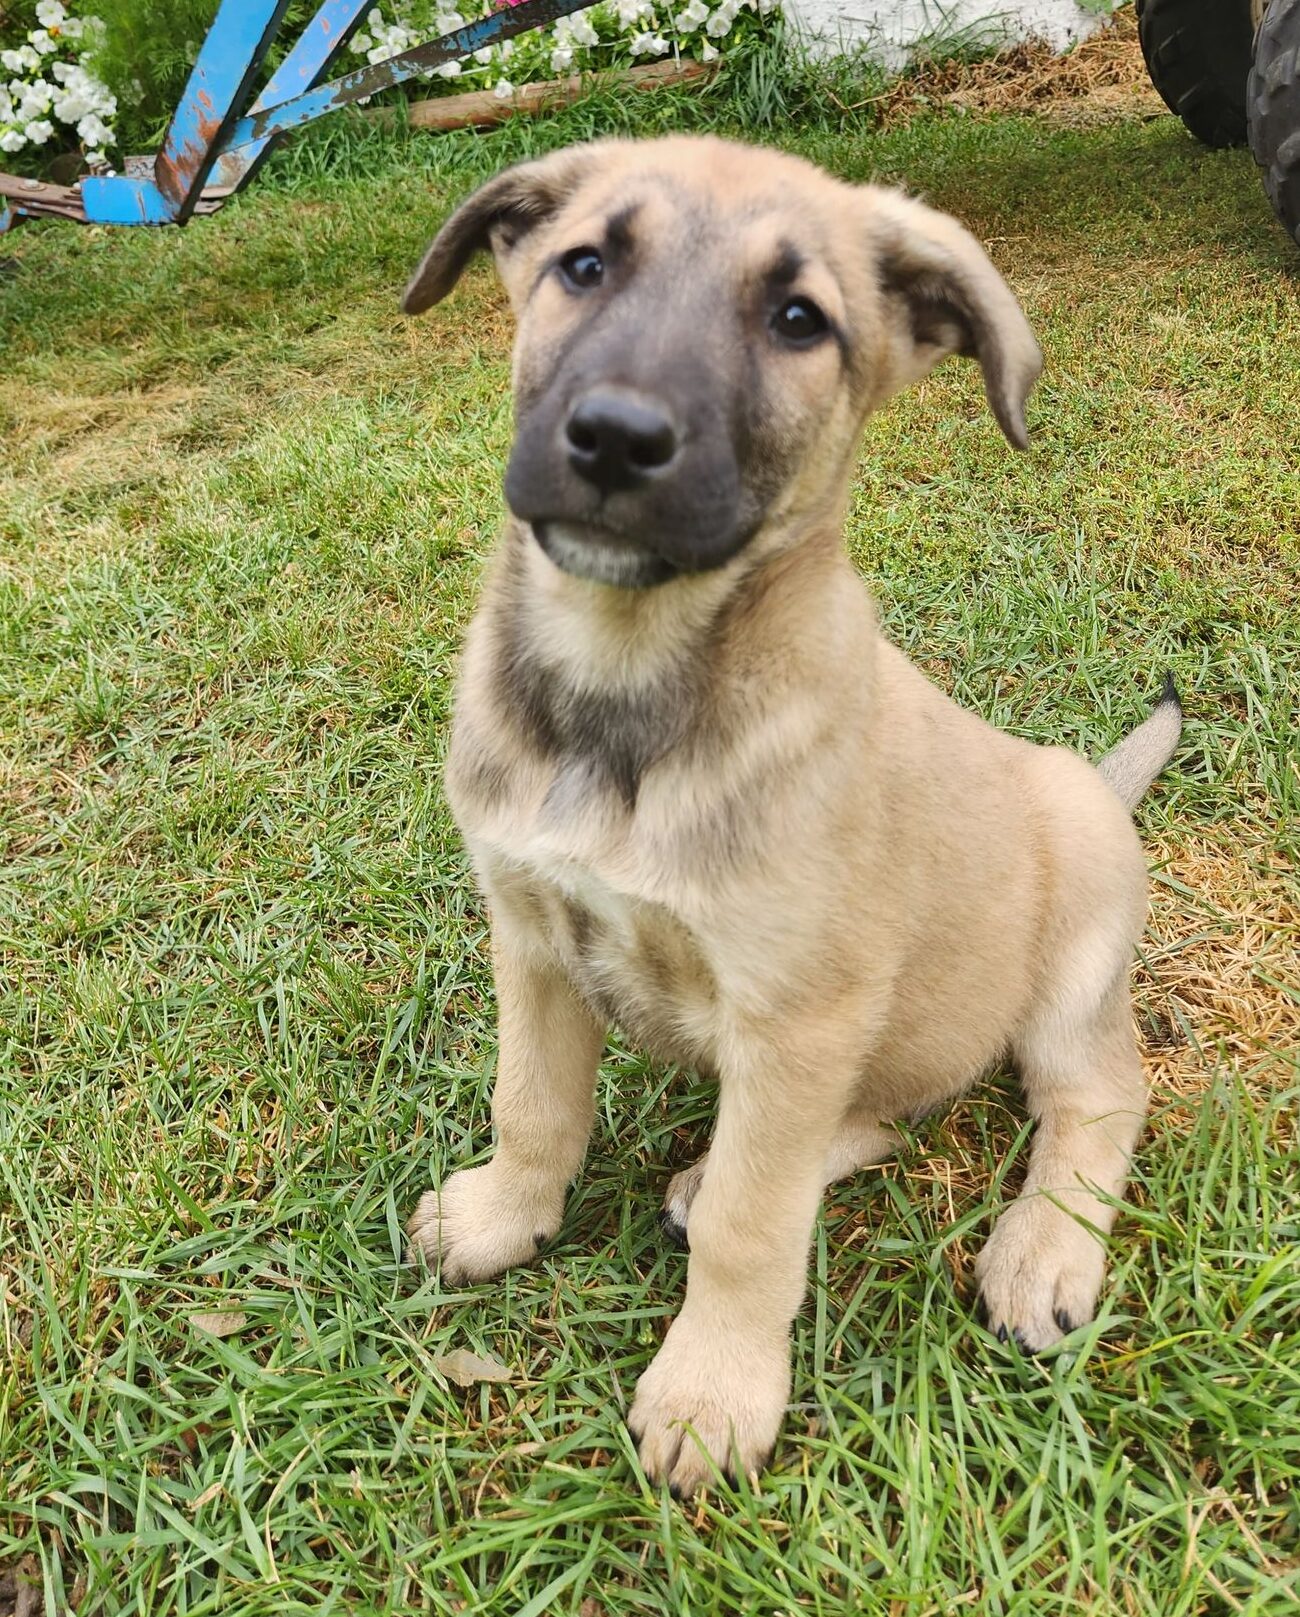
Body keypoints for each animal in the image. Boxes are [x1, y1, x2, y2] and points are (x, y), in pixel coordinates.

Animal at [401, 135, 1182, 1495]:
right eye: (583, 266)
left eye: (798, 321)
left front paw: (713, 1391)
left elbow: (752, 1230)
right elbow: (533, 1105)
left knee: (1094, 1096)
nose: (615, 439)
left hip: (1069, 966)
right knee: (871, 1119)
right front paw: (504, 1217)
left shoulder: (794, 1008)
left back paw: (1042, 1250)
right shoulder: (532, 935)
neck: (627, 693)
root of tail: (1092, 778)